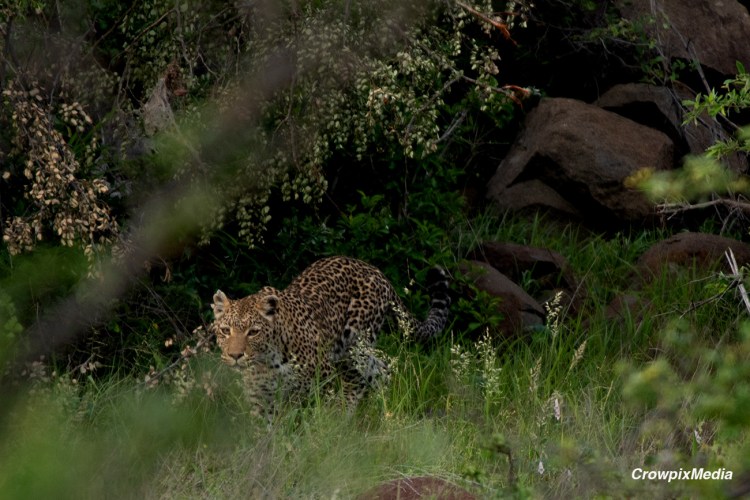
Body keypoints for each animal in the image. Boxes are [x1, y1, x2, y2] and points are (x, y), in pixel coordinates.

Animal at [210, 256, 450, 416]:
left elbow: (313, 412)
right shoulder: (260, 396)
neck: (266, 361)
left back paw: (344, 418)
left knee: (357, 382)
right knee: (382, 370)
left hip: (353, 348)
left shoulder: (322, 377)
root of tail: (377, 272)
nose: (235, 355)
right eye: (225, 331)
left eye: (253, 332)